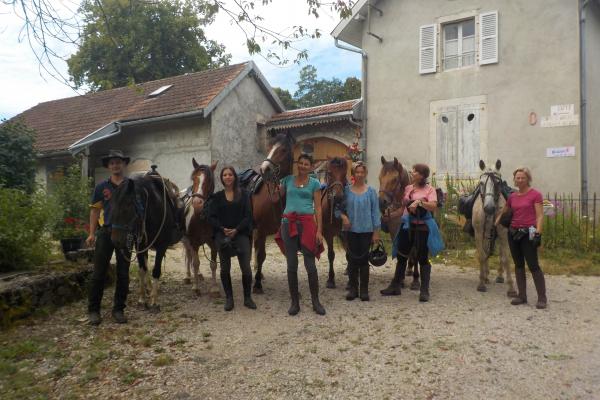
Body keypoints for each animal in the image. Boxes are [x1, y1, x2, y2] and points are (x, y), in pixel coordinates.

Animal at [110, 167, 184, 310]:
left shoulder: (162, 246)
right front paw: (142, 298)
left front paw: (154, 301)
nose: (115, 240)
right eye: (112, 205)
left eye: (127, 206)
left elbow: (156, 270)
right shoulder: (140, 245)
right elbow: (142, 270)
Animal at [184, 159, 221, 296]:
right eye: (193, 178)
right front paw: (195, 287)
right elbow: (195, 263)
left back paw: (198, 275)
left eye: (209, 180)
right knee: (189, 255)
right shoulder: (193, 241)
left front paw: (215, 288)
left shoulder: (214, 243)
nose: (197, 203)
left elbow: (213, 264)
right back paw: (188, 276)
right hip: (186, 240)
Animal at [251, 133, 296, 292]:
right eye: (269, 147)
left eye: (283, 149)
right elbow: (261, 255)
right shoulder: (261, 230)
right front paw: (257, 284)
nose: (265, 169)